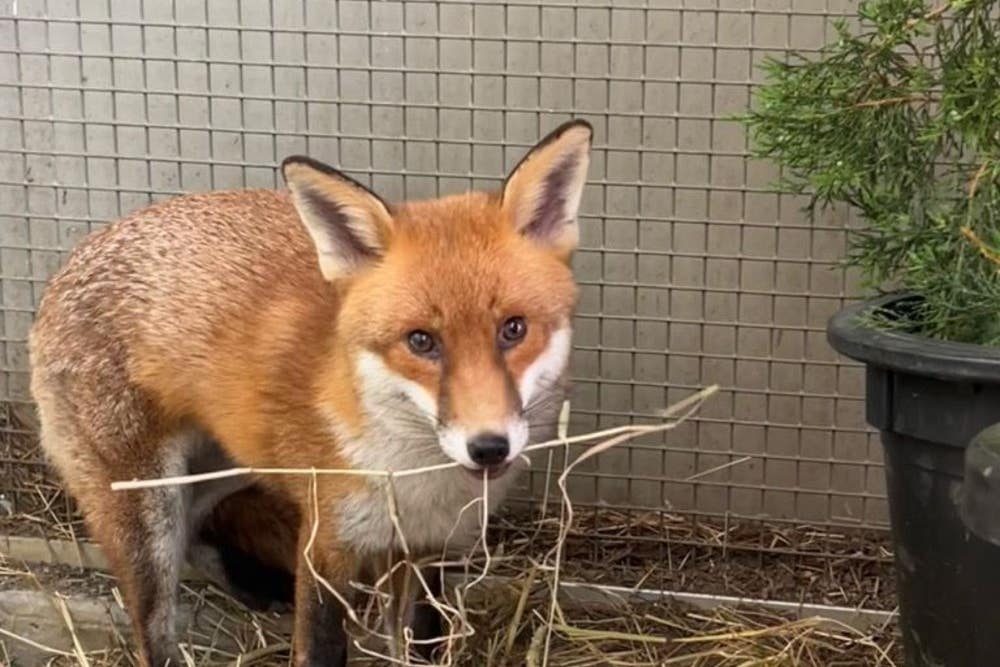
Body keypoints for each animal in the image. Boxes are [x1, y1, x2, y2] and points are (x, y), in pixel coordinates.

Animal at [28, 120, 592, 666]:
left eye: (513, 329)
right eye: (421, 341)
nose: (489, 446)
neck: (414, 480)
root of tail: (70, 261)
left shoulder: (428, 547)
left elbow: (421, 644)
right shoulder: (325, 544)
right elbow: (322, 647)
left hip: (230, 466)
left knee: (198, 528)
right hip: (146, 505)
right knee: (154, 627)